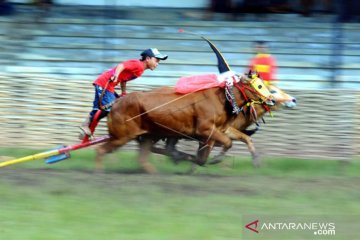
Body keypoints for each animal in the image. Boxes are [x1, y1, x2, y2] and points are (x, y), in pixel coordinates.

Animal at [95, 77, 272, 172]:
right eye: (259, 85)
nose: (271, 99)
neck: (223, 99)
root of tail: (115, 103)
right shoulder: (205, 130)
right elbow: (220, 147)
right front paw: (213, 159)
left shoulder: (220, 130)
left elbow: (242, 139)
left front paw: (256, 160)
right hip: (122, 136)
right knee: (100, 150)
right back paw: (100, 171)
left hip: (148, 135)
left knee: (144, 157)